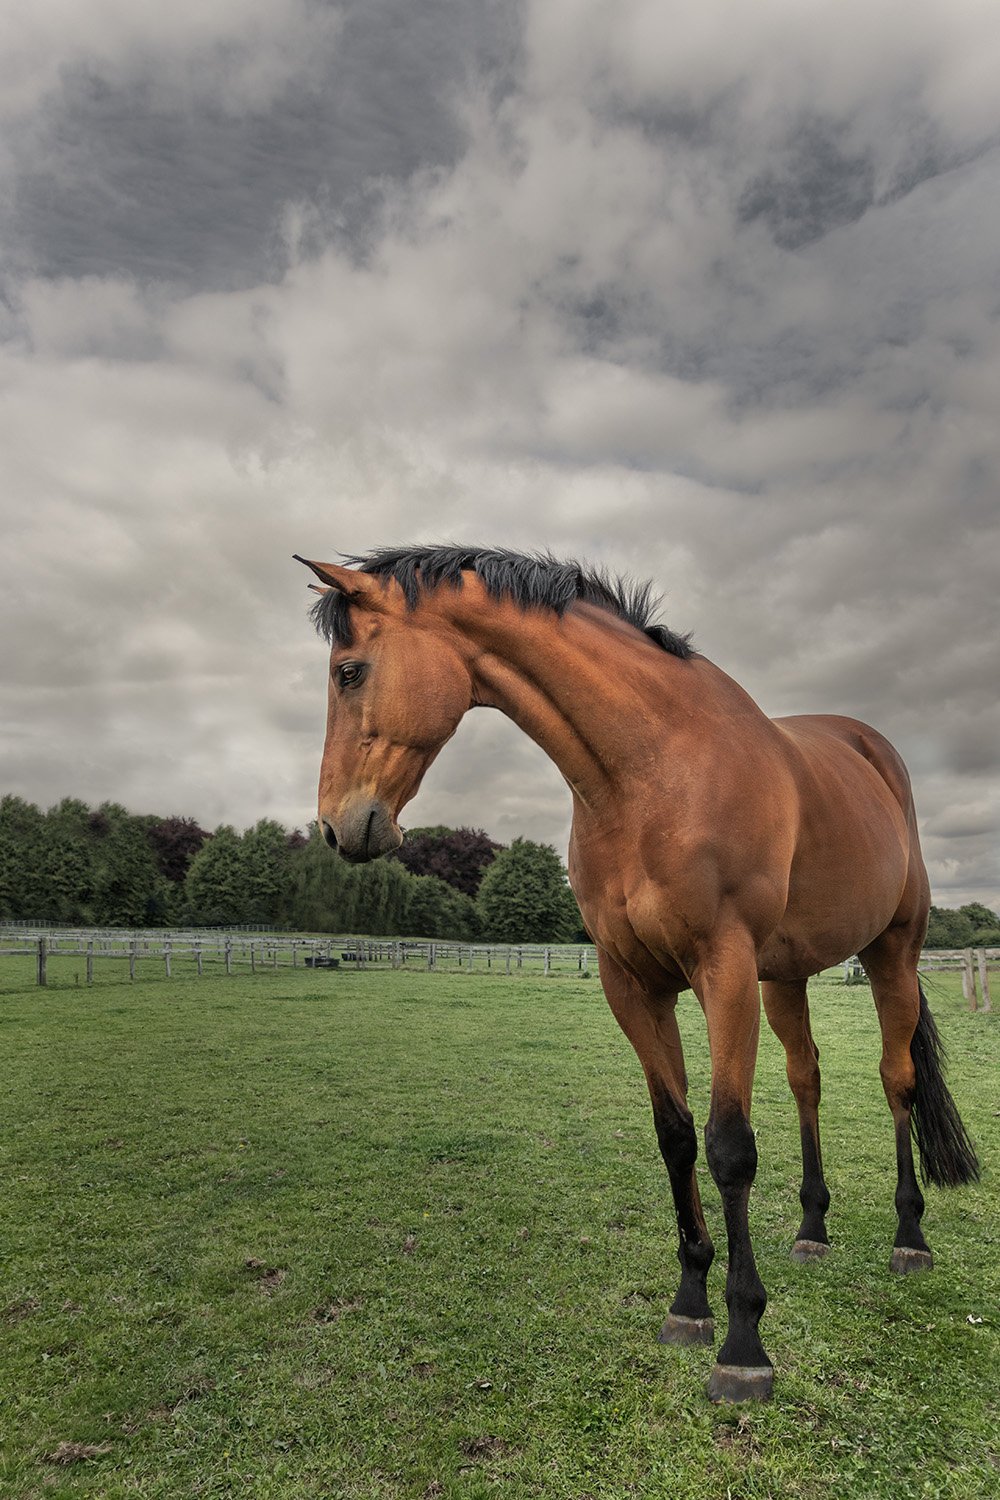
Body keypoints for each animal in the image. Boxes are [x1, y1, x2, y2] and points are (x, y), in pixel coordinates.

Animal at [293, 544, 979, 1403]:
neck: (650, 771)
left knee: (897, 1081)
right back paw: (813, 1228)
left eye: (348, 672)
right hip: (785, 979)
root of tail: (873, 753)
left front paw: (744, 1343)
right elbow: (676, 1137)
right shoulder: (634, 985)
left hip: (894, 953)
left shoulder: (724, 968)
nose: (333, 827)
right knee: (807, 1079)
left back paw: (909, 1236)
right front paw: (690, 1303)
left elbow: (729, 1146)